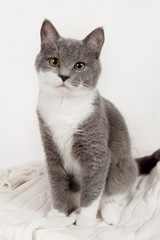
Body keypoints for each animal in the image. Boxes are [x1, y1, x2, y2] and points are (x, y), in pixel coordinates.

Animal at [35, 19, 160, 227]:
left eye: (79, 66)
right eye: (54, 61)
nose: (64, 76)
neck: (64, 106)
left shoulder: (96, 149)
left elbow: (92, 188)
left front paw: (85, 219)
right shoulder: (51, 150)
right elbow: (56, 184)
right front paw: (58, 214)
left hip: (122, 168)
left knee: (119, 191)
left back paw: (110, 212)